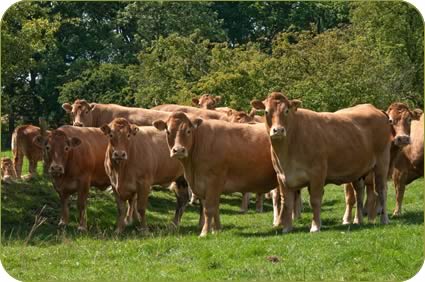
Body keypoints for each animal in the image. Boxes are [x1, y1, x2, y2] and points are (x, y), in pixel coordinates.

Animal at [250, 91, 392, 232]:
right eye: (266, 111)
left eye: (286, 111)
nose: (278, 130)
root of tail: (375, 109)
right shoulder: (282, 177)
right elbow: (287, 203)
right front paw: (287, 228)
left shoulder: (317, 174)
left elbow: (315, 200)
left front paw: (315, 226)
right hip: (359, 170)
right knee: (359, 193)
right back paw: (358, 220)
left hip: (382, 162)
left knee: (382, 191)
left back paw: (384, 219)